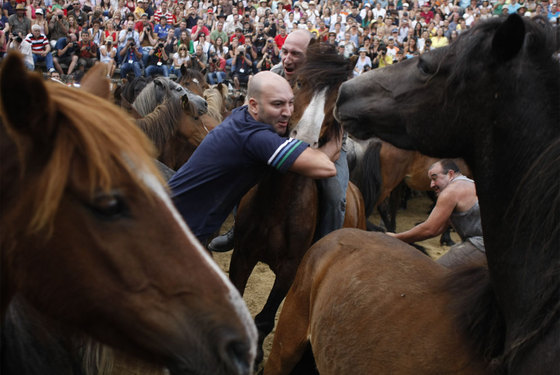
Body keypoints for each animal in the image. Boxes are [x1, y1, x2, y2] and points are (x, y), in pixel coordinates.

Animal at [229, 43, 368, 368]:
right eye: (300, 82)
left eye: (337, 96)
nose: (303, 139)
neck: (277, 203)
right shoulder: (242, 253)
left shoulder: (290, 270)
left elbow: (265, 320)